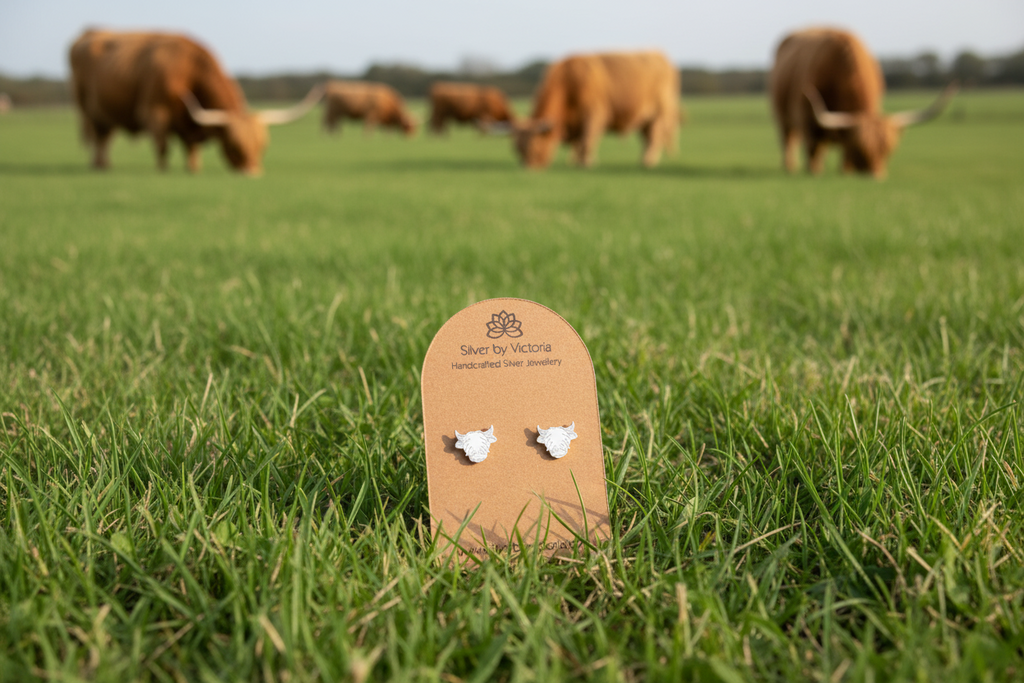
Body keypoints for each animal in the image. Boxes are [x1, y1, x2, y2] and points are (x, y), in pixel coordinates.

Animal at [69, 29, 323, 175]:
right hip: (88, 110)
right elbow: (162, 145)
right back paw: (100, 167)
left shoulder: (189, 123)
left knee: (105, 137)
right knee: (99, 138)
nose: (253, 173)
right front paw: (162, 170)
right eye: (234, 146)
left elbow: (191, 147)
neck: (189, 71)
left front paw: (193, 169)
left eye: (263, 146)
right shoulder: (154, 111)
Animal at [511, 51, 680, 169]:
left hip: (659, 114)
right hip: (645, 119)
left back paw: (648, 162)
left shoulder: (594, 115)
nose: (528, 168)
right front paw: (577, 162)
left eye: (535, 147)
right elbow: (578, 143)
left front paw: (587, 163)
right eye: (517, 149)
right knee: (647, 138)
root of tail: (659, 54)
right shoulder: (577, 122)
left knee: (654, 138)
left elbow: (587, 140)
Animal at [770, 28, 957, 178]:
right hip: (783, 118)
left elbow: (842, 157)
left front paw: (846, 173)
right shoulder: (807, 122)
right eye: (860, 149)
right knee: (789, 141)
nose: (876, 176)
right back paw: (791, 168)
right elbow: (813, 153)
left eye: (888, 150)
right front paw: (815, 173)